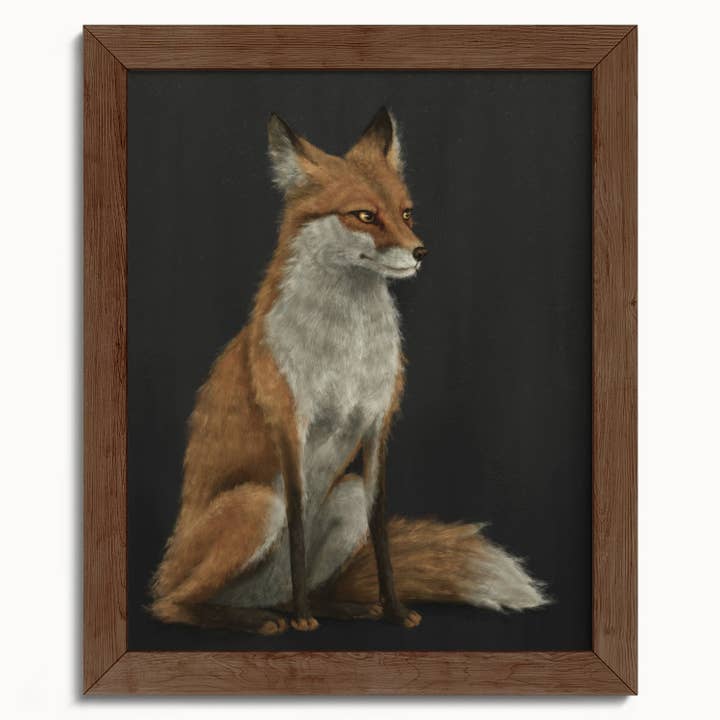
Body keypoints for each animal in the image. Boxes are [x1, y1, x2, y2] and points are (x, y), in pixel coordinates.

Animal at [150, 108, 547, 635]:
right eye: (364, 215)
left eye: (406, 213)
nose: (421, 252)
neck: (348, 348)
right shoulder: (290, 426)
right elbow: (298, 528)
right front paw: (304, 621)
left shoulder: (378, 425)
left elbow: (381, 535)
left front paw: (394, 610)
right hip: (257, 504)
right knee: (172, 604)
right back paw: (261, 619)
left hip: (347, 496)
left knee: (297, 587)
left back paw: (336, 607)